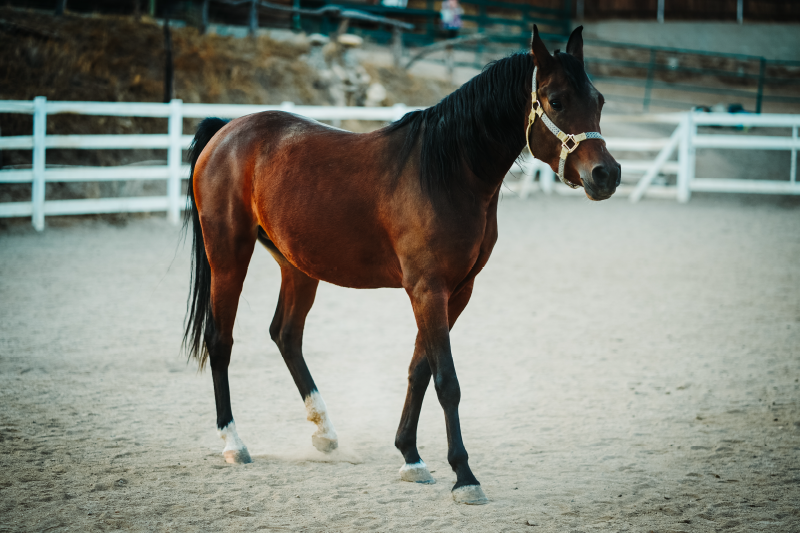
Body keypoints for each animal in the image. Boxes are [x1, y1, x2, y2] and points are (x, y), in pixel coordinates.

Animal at [182, 25, 620, 505]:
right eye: (556, 100)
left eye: (598, 100)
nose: (606, 174)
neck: (448, 172)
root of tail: (227, 130)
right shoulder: (427, 289)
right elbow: (447, 380)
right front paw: (464, 475)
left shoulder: (456, 291)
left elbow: (419, 370)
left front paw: (411, 457)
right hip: (228, 255)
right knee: (221, 340)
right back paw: (234, 443)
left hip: (297, 266)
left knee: (286, 335)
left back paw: (325, 433)